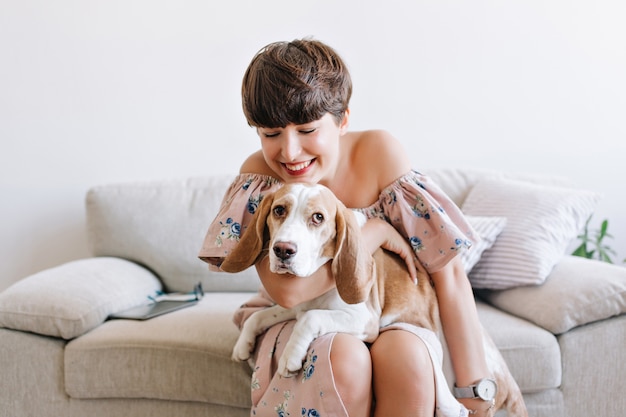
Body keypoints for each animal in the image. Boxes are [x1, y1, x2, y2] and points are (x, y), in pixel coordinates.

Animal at [219, 182, 528, 416]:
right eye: (278, 210)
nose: (283, 250)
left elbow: (309, 318)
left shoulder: (363, 320)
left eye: (318, 218)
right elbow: (262, 314)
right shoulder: (297, 305)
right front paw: (244, 344)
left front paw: (290, 355)